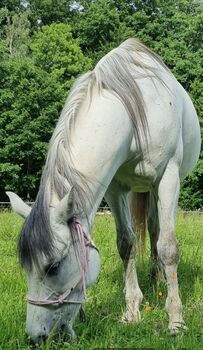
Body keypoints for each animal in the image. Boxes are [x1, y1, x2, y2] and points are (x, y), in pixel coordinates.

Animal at [7, 39, 201, 344]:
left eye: (53, 266)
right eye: (25, 267)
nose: (37, 337)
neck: (135, 116)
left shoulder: (168, 177)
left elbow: (169, 247)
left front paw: (176, 321)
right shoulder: (115, 187)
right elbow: (127, 243)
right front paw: (132, 311)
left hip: (158, 187)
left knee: (158, 232)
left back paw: (160, 281)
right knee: (152, 228)